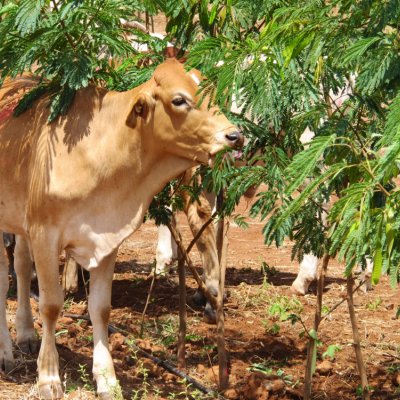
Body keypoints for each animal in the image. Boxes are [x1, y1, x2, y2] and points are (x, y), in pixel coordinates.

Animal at [0, 60, 242, 400]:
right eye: (179, 100)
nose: (235, 135)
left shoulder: (106, 240)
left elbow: (100, 309)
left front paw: (107, 379)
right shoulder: (44, 234)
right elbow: (50, 306)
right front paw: (48, 377)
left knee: (20, 267)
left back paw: (25, 334)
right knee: (3, 276)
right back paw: (6, 352)